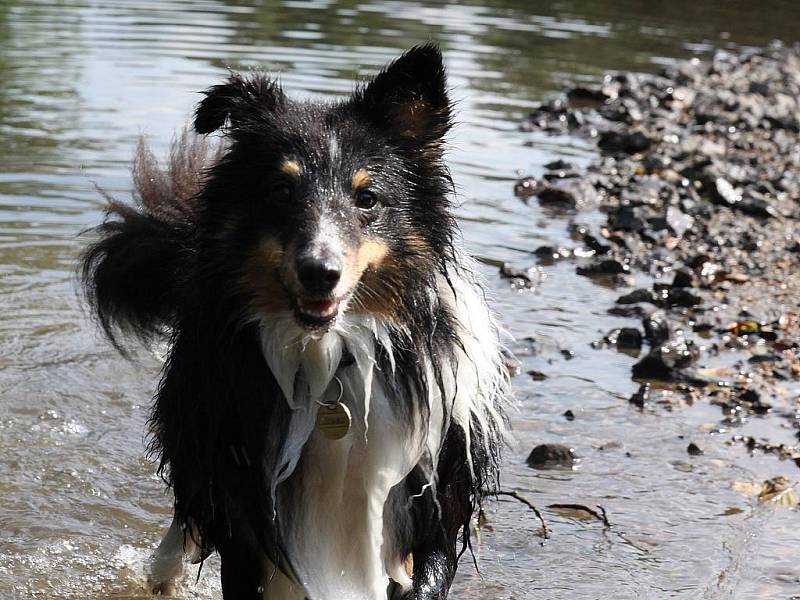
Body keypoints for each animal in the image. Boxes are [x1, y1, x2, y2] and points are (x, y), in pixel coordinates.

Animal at [79, 44, 506, 596]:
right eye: (281, 191)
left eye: (367, 198)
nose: (319, 274)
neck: (331, 360)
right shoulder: (250, 515)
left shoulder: (432, 503)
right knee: (186, 511)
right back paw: (161, 573)